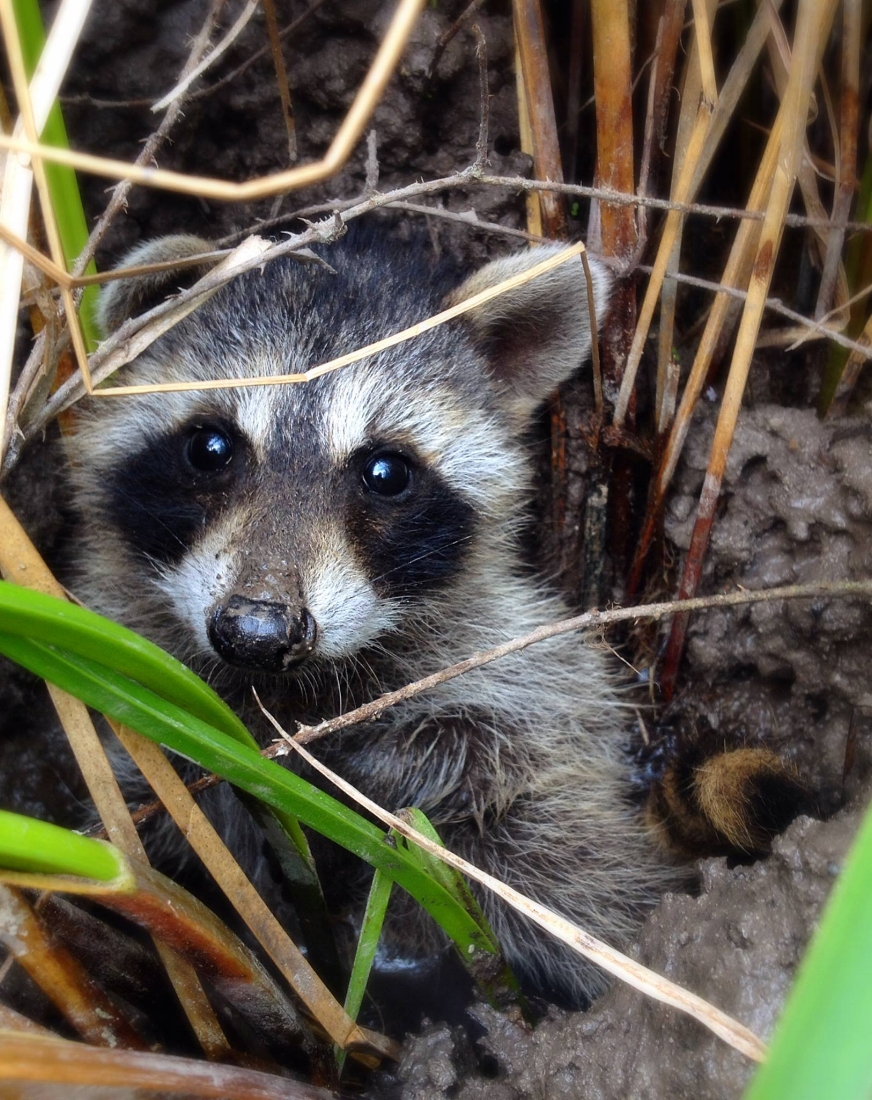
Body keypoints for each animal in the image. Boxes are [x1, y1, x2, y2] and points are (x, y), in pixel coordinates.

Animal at [66, 229, 782, 1007]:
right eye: (209, 447)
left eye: (385, 472)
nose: (257, 633)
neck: (300, 689)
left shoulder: (515, 682)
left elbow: (532, 809)